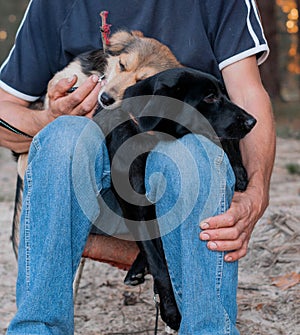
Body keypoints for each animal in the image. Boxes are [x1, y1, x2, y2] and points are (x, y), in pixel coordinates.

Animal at [95, 66, 256, 330]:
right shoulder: (137, 214)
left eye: (223, 93)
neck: (152, 139)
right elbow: (159, 264)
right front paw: (170, 310)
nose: (252, 121)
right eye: (209, 97)